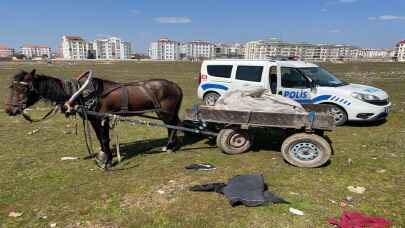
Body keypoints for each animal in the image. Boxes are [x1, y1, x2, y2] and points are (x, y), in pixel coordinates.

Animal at [3, 69, 184, 169]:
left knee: (172, 125)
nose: (9, 110)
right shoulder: (93, 119)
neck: (81, 93)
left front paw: (107, 161)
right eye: (12, 87)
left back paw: (170, 146)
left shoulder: (101, 118)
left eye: (24, 89)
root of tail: (176, 85)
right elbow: (99, 138)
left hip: (166, 112)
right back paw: (171, 145)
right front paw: (103, 155)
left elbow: (104, 138)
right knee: (172, 126)